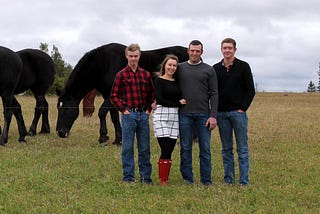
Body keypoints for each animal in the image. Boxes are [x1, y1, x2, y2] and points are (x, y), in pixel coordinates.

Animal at [56, 42, 189, 145]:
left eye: (66, 108)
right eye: (58, 108)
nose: (60, 132)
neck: (104, 64)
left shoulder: (111, 96)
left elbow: (101, 112)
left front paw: (103, 137)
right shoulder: (109, 96)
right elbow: (114, 117)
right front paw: (118, 139)